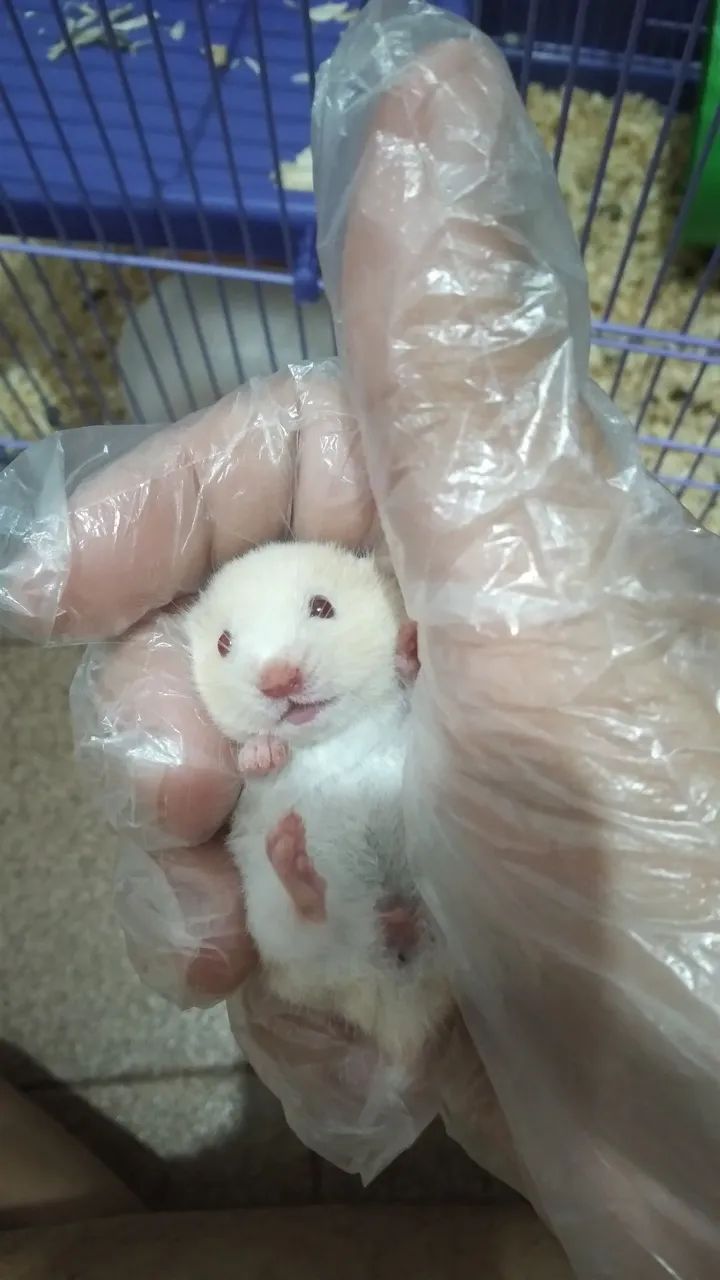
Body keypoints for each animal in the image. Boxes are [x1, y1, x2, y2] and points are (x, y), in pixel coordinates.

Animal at [185, 541, 452, 1066]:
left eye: (323, 607)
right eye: (223, 643)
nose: (278, 680)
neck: (332, 737)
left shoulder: (406, 722)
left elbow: (408, 689)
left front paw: (411, 646)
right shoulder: (251, 794)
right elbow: (252, 763)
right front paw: (264, 751)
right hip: (279, 931)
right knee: (312, 921)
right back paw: (291, 851)